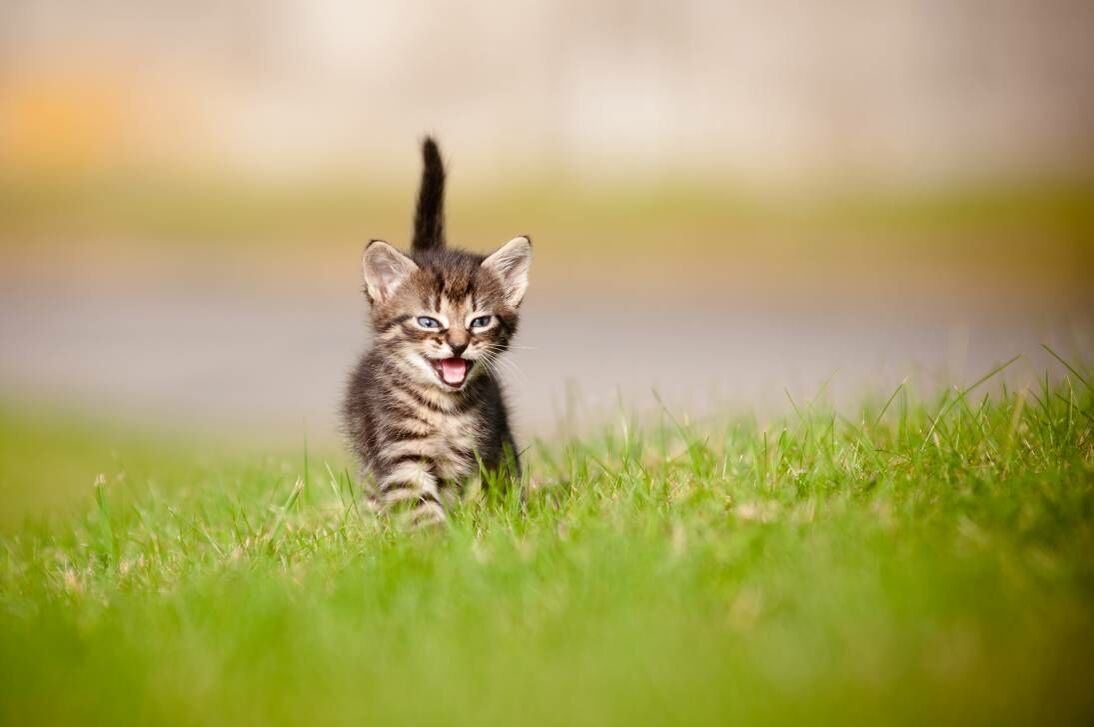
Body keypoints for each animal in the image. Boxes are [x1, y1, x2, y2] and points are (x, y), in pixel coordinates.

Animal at [339, 136, 531, 524]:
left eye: (480, 321)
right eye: (428, 322)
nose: (457, 345)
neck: (445, 409)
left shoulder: (490, 442)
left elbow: (499, 485)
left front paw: (503, 522)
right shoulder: (400, 451)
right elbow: (418, 505)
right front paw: (437, 538)